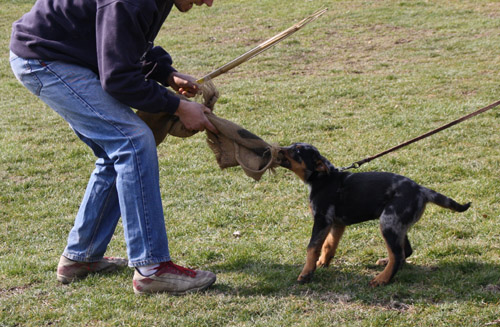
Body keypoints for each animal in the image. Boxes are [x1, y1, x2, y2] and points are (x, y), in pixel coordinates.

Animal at [280, 144, 470, 288]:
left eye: (297, 151)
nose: (279, 148)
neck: (322, 179)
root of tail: (421, 190)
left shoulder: (321, 220)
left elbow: (312, 247)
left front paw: (306, 274)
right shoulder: (336, 223)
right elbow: (329, 245)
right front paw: (322, 263)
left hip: (388, 223)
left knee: (398, 255)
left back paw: (381, 279)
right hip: (397, 225)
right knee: (404, 251)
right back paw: (385, 264)